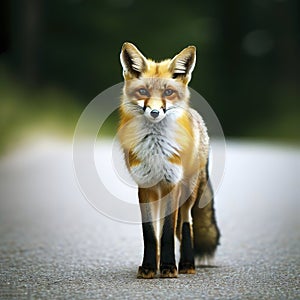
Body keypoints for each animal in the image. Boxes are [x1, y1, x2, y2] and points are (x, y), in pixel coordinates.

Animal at [118, 42, 220, 278]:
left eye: (168, 92)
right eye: (143, 92)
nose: (155, 112)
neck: (156, 150)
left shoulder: (171, 184)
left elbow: (166, 232)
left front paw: (168, 267)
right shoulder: (144, 186)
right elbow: (150, 233)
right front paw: (149, 267)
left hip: (189, 190)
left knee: (185, 223)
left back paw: (186, 264)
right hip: (158, 193)